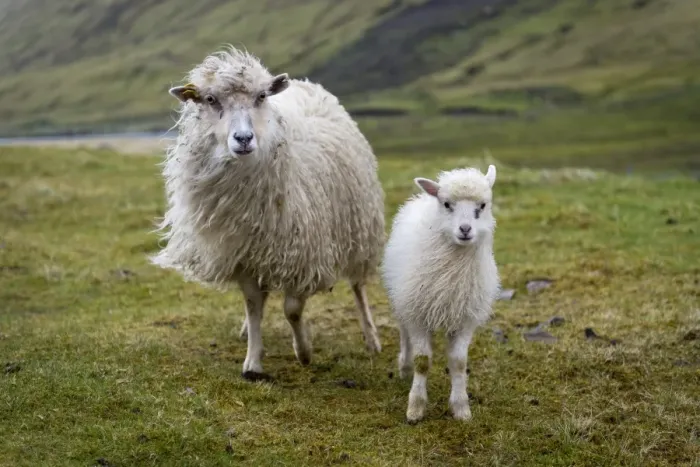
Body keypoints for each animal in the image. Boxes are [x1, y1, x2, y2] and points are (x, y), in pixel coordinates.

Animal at [150, 46, 386, 380]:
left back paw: (371, 337)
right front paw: (253, 360)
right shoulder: (244, 254)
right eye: (210, 99)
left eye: (261, 97)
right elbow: (253, 305)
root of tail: (304, 84)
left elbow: (292, 310)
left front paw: (304, 352)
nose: (243, 139)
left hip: (358, 225)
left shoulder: (303, 254)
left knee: (358, 285)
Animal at [380, 165, 500, 423]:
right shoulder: (417, 315)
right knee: (404, 334)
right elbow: (422, 362)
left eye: (483, 205)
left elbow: (458, 363)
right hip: (403, 301)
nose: (465, 229)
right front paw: (415, 408)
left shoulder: (464, 319)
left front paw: (461, 408)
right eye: (447, 204)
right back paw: (404, 367)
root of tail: (421, 197)